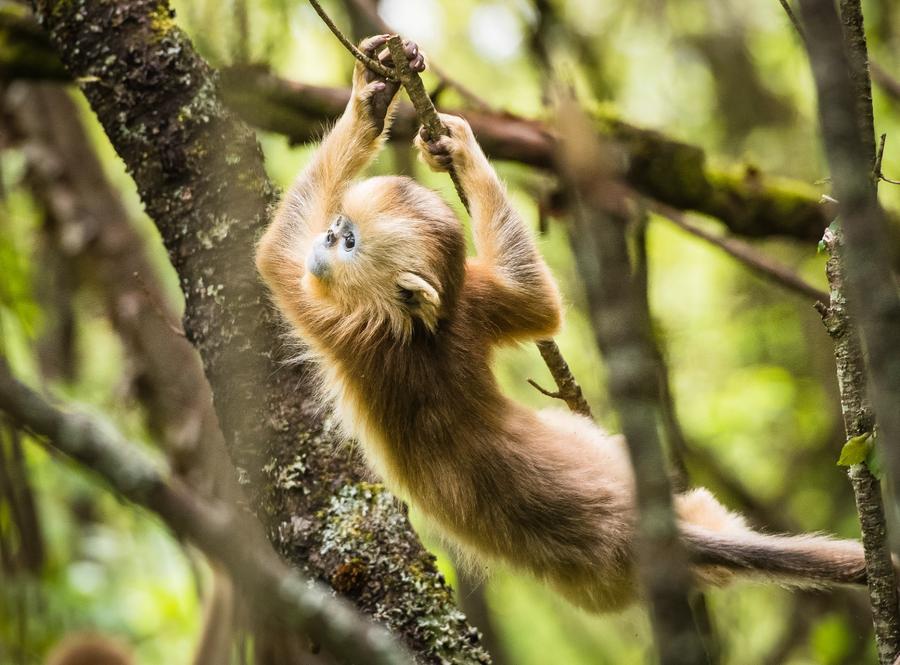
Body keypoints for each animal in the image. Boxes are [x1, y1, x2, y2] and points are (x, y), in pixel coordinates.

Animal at [253, 33, 872, 608]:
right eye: (337, 227)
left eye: (348, 241)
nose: (325, 239)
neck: (427, 327)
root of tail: (631, 527)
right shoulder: (471, 299)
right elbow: (541, 305)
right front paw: (428, 125)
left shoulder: (353, 328)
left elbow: (274, 257)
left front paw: (367, 104)